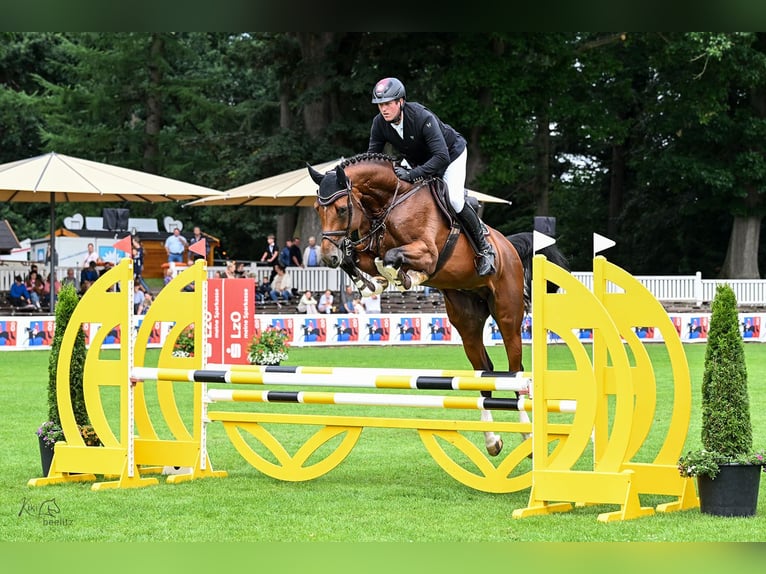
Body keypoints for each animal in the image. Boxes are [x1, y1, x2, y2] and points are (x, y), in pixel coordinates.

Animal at [309, 152, 568, 456]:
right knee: (485, 371)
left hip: (508, 315)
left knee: (515, 372)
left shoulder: (427, 252)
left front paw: (405, 277)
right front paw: (373, 285)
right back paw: (492, 440)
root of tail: (509, 247)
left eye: (340, 209)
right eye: (317, 209)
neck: (389, 203)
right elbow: (360, 258)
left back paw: (526, 435)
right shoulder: (367, 248)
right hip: (466, 321)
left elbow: (390, 258)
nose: (328, 257)